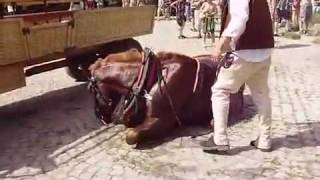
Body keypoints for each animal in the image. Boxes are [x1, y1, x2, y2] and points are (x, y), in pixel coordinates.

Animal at [87, 48, 242, 146]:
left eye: (91, 90)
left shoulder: (162, 120)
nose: (99, 117)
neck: (150, 76)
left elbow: (131, 136)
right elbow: (128, 122)